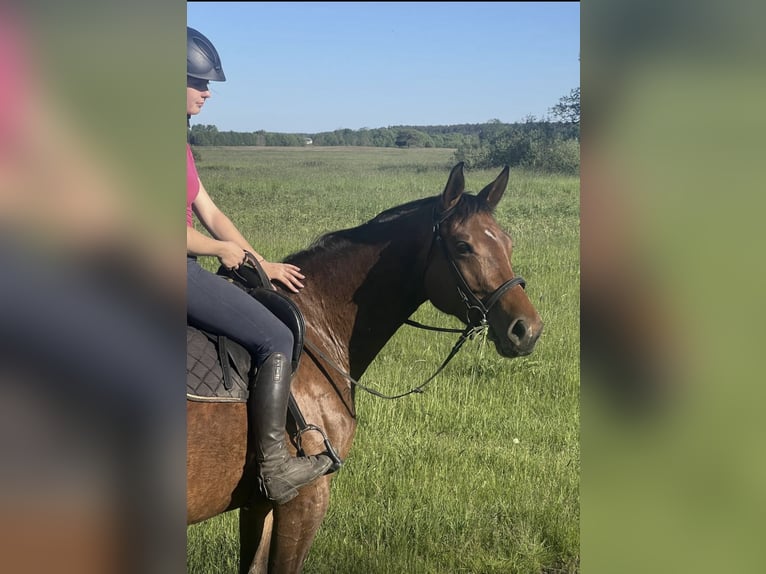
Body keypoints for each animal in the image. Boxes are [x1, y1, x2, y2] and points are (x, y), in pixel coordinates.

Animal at [188, 162, 544, 574]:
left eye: (507, 242)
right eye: (463, 246)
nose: (527, 329)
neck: (316, 325)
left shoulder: (259, 504)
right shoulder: (305, 496)